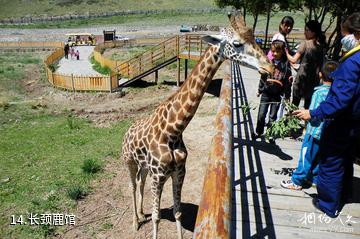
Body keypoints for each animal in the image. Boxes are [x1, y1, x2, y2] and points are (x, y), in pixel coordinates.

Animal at [121, 11, 272, 239]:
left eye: (255, 38)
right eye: (236, 43)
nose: (269, 67)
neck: (173, 130)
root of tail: (126, 132)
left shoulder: (179, 171)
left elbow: (177, 212)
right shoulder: (159, 175)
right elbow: (157, 217)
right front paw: (145, 222)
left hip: (144, 166)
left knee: (140, 181)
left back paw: (140, 213)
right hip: (129, 161)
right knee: (131, 186)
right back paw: (134, 222)